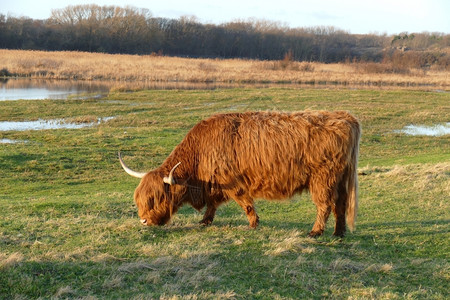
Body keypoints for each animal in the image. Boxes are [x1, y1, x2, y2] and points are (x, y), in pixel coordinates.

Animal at [118, 110, 358, 237]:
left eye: (156, 198)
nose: (143, 221)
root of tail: (345, 117)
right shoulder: (214, 184)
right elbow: (213, 204)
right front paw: (205, 221)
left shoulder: (233, 182)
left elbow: (245, 204)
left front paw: (253, 224)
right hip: (340, 179)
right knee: (340, 204)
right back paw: (339, 233)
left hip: (323, 179)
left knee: (325, 204)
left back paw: (316, 232)